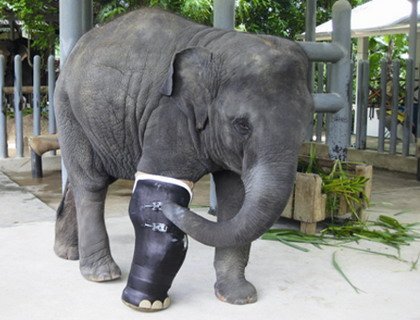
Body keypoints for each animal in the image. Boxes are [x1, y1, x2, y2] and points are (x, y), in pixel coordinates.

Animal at [53, 8, 312, 310]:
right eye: (242, 125)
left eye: (305, 128)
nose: (174, 210)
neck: (219, 46)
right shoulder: (169, 113)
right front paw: (147, 304)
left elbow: (236, 200)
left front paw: (239, 298)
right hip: (68, 109)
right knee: (91, 182)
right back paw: (102, 274)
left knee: (84, 179)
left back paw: (68, 254)